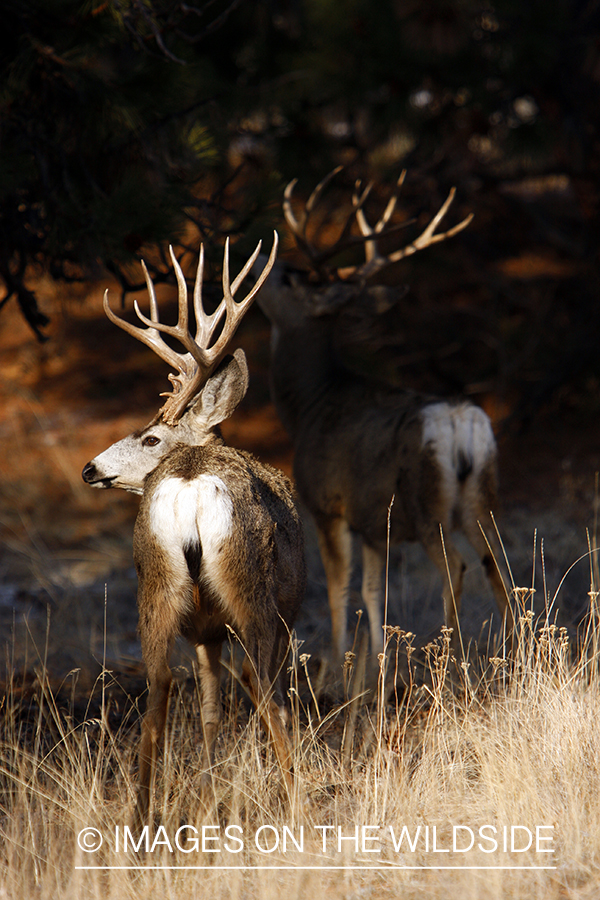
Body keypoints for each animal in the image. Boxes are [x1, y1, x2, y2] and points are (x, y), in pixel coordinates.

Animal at [81, 233, 306, 827]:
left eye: (151, 437)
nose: (89, 468)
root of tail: (189, 484)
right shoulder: (285, 611)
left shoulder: (205, 629)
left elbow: (208, 710)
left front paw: (211, 799)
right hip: (250, 586)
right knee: (260, 681)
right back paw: (299, 801)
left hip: (156, 580)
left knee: (159, 682)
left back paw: (141, 818)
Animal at [254, 168, 510, 668]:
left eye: (290, 278)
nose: (259, 261)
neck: (310, 404)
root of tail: (460, 422)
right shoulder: (373, 522)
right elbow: (374, 593)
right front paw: (376, 663)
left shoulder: (328, 505)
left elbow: (339, 591)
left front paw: (338, 664)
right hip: (480, 496)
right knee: (499, 563)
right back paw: (519, 651)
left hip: (429, 503)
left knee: (457, 566)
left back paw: (451, 664)